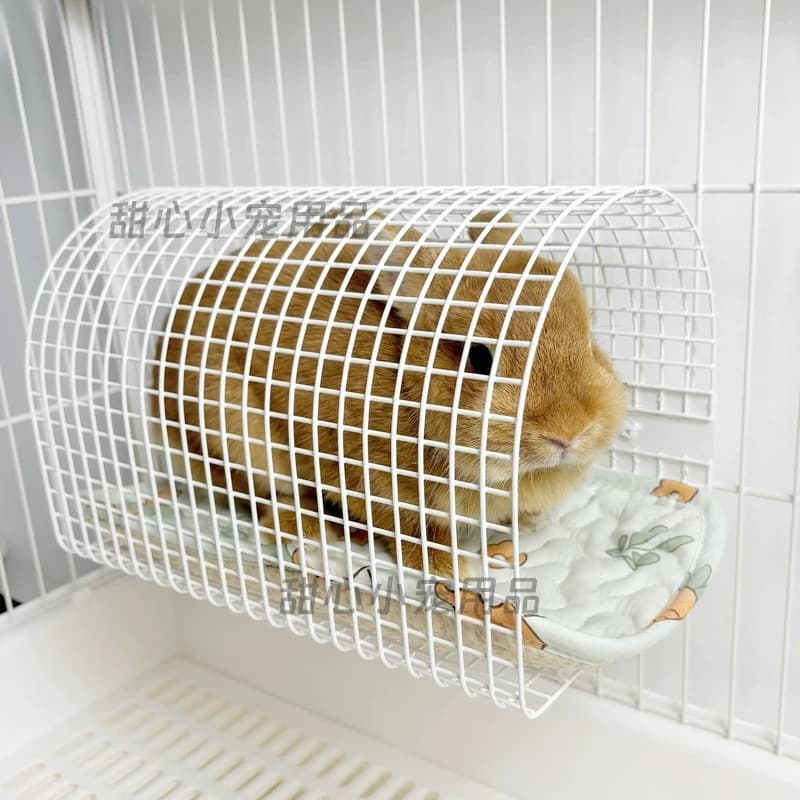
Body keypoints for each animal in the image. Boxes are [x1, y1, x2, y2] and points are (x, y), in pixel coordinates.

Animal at [152, 209, 626, 582]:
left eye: (588, 339)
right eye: (478, 357)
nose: (569, 433)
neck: (410, 389)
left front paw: (531, 521)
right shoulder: (377, 485)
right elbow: (413, 535)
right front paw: (462, 568)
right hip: (241, 441)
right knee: (268, 502)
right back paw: (315, 536)